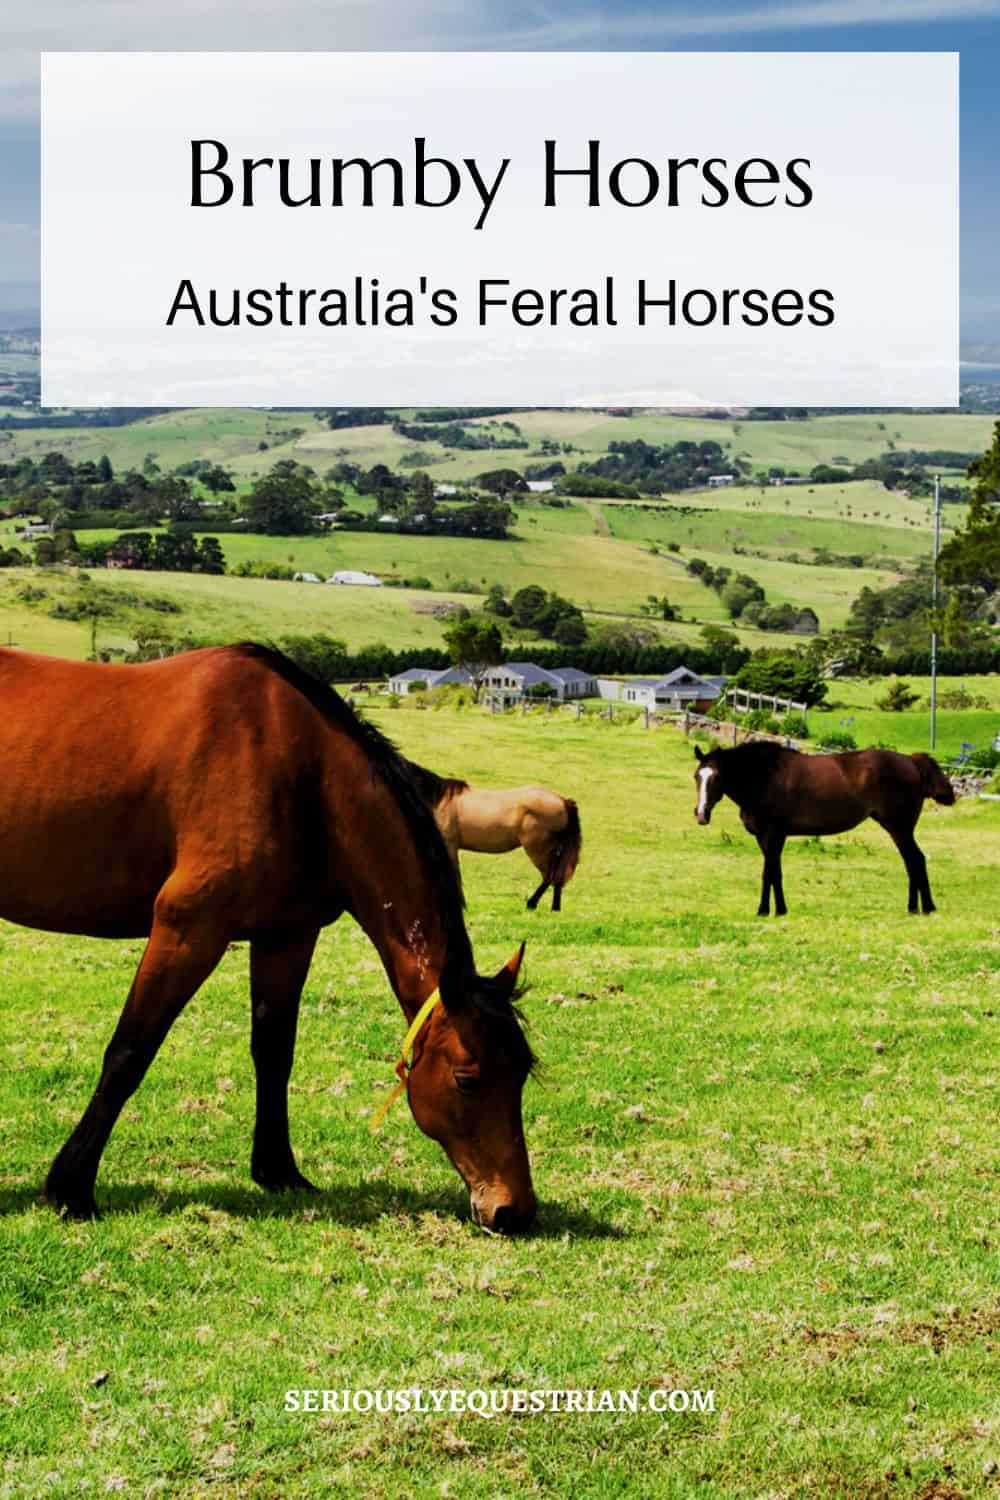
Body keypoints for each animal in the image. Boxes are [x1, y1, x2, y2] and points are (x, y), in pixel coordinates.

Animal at [0, 644, 537, 1233]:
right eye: (467, 1079)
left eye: (522, 1073)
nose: (514, 1210)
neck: (300, 772)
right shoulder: (188, 929)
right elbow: (129, 1053)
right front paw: (70, 1187)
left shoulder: (287, 936)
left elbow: (275, 1051)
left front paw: (279, 1170)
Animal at [410, 765, 582, 911]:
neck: (438, 801)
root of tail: (563, 801)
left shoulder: (449, 844)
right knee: (557, 877)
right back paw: (554, 908)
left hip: (538, 849)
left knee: (549, 876)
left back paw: (532, 903)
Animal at [693, 741, 955, 916]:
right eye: (697, 776)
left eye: (717, 777)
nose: (701, 814)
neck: (764, 777)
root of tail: (911, 761)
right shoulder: (766, 838)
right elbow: (775, 872)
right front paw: (781, 909)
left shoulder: (774, 834)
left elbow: (769, 872)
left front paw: (764, 910)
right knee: (912, 861)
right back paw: (914, 908)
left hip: (899, 828)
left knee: (916, 860)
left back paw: (926, 907)